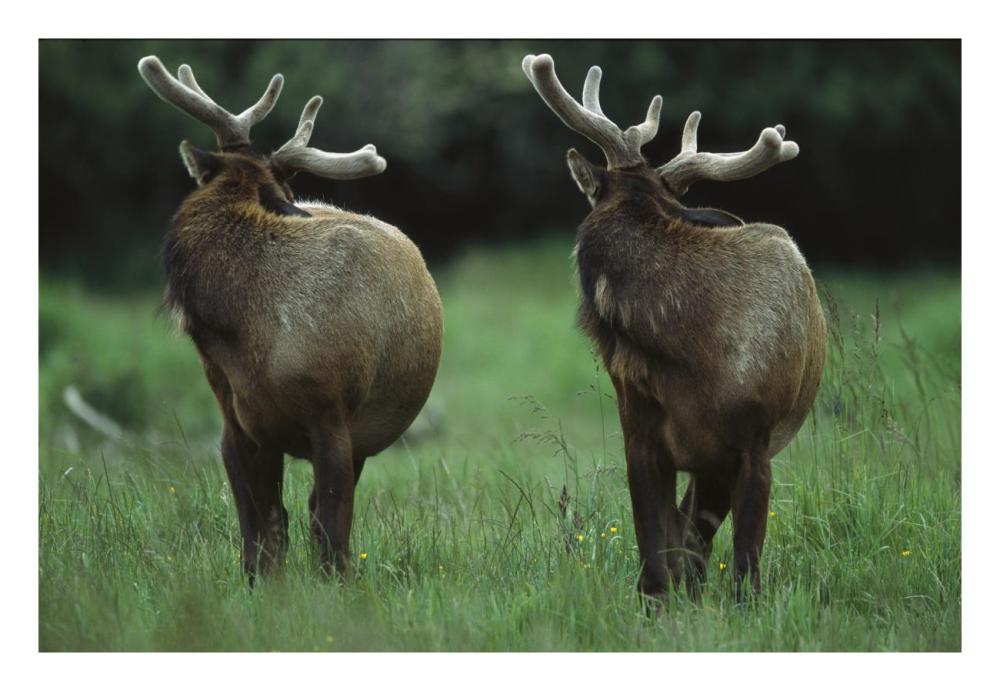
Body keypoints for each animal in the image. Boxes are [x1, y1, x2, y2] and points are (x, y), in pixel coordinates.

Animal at [137, 56, 443, 585]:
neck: (249, 335)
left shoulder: (334, 414)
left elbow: (330, 525)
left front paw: (335, 587)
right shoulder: (235, 424)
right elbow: (259, 530)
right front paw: (261, 587)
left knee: (319, 512)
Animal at [522, 54, 827, 603]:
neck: (693, 349)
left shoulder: (754, 441)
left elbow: (745, 570)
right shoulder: (640, 433)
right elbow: (654, 564)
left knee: (697, 539)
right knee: (687, 540)